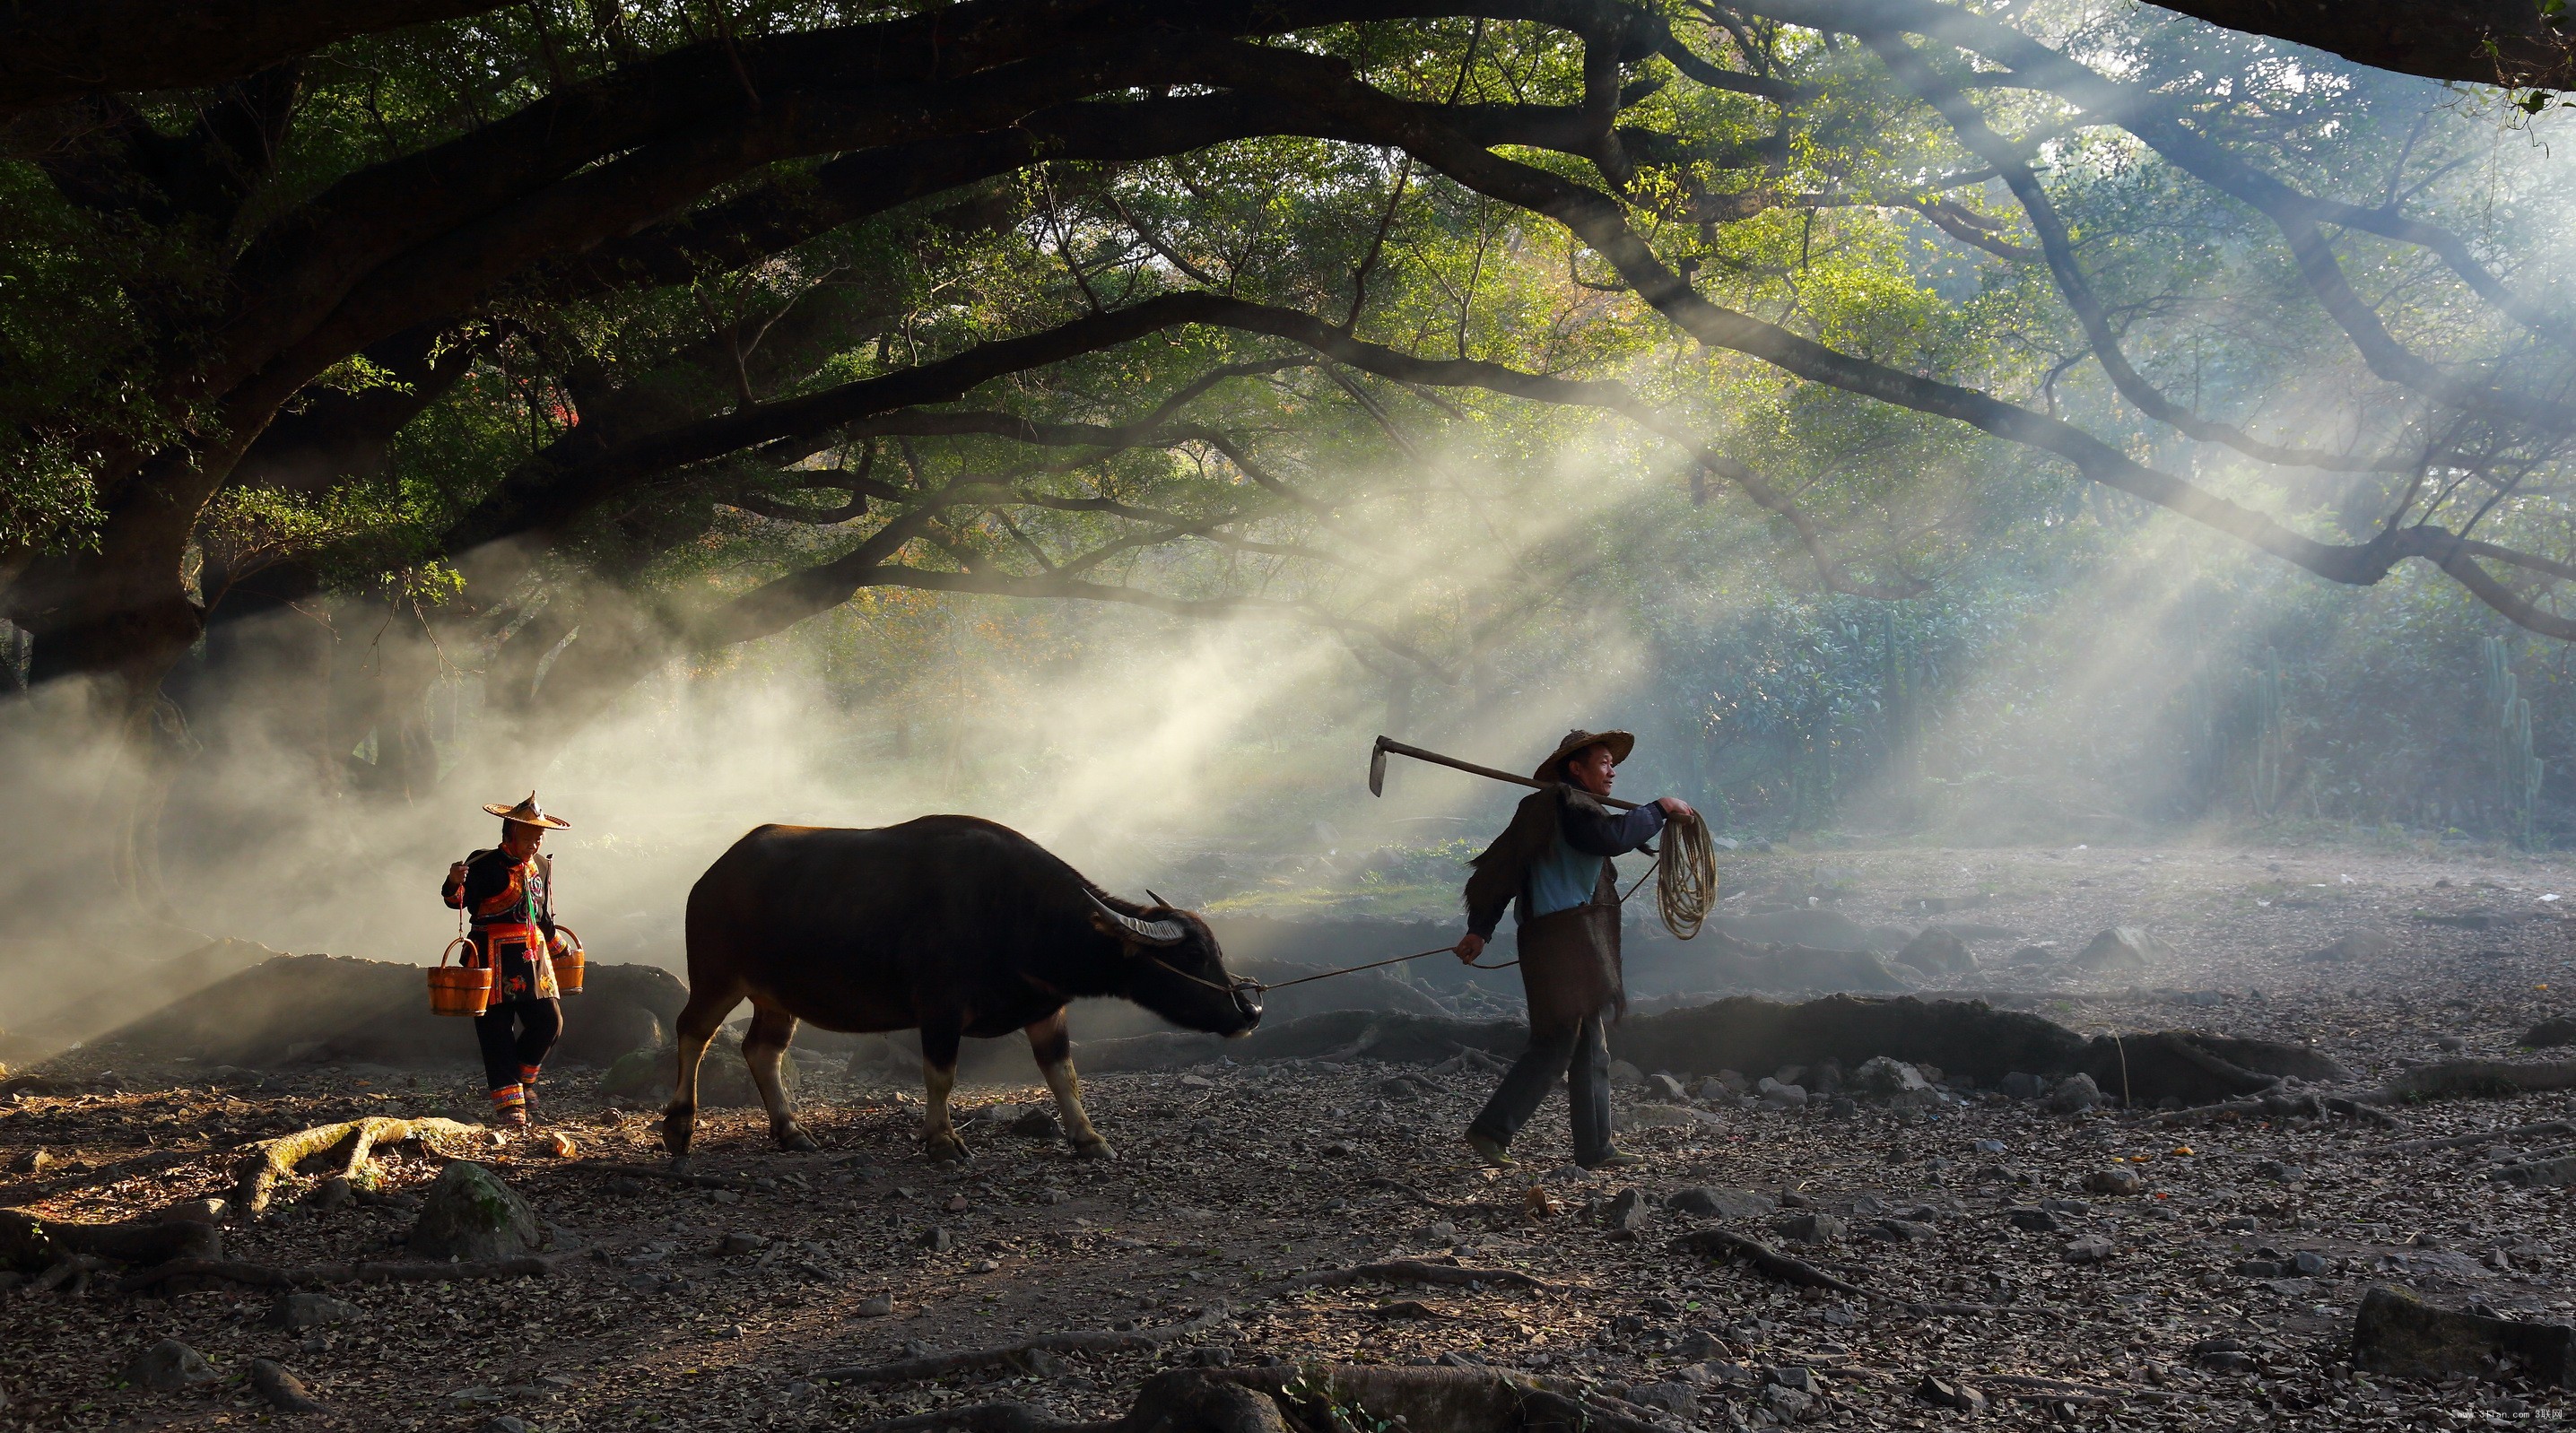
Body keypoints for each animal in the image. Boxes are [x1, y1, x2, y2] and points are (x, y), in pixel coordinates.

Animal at [669, 809, 1262, 1159]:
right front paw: (942, 1140)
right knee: (692, 1030)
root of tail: (710, 878)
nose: (1249, 1012)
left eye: (1216, 951)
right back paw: (679, 1126)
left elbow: (1063, 1074)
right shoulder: (940, 1009)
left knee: (761, 1049)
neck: (1018, 914)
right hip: (716, 977)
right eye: (1193, 955)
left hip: (776, 996)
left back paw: (791, 1129)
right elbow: (942, 1075)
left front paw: (1089, 1137)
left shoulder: (1047, 1010)